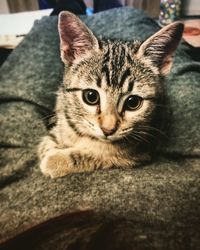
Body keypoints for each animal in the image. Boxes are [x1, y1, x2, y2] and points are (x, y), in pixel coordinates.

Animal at [38, 11, 183, 178]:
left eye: (133, 103)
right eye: (91, 96)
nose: (108, 130)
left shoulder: (139, 153)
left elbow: (101, 155)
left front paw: (56, 160)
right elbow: (48, 141)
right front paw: (50, 147)